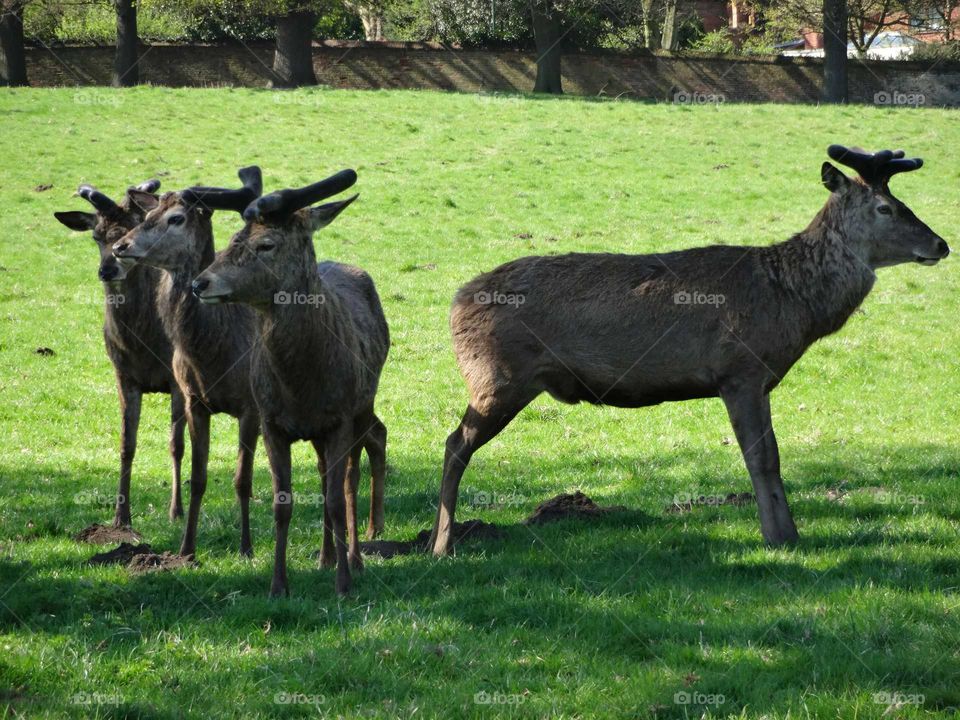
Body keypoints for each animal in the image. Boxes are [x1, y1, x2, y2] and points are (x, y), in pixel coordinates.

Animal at [54, 180, 189, 528]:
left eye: (131, 230)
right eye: (96, 236)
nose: (107, 269)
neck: (142, 345)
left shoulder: (177, 379)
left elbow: (176, 444)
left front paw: (176, 511)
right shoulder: (122, 374)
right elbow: (127, 444)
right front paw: (121, 516)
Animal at [111, 167, 262, 556]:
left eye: (176, 218)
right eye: (147, 214)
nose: (121, 247)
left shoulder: (251, 405)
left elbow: (242, 479)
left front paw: (247, 547)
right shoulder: (195, 400)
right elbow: (198, 477)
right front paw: (186, 548)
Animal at [189, 170, 388, 596]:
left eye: (266, 244)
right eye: (233, 238)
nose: (200, 283)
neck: (301, 385)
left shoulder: (340, 418)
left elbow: (336, 498)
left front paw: (343, 584)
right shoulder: (271, 421)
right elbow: (283, 503)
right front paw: (278, 583)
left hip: (364, 404)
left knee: (351, 478)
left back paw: (353, 559)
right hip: (317, 432)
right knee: (324, 474)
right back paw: (325, 556)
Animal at [432, 143, 948, 556]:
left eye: (902, 202)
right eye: (884, 207)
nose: (941, 244)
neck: (792, 304)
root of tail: (455, 302)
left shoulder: (757, 379)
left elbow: (770, 455)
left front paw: (788, 533)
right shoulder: (739, 370)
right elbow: (763, 457)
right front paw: (779, 537)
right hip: (497, 375)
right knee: (455, 443)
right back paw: (442, 544)